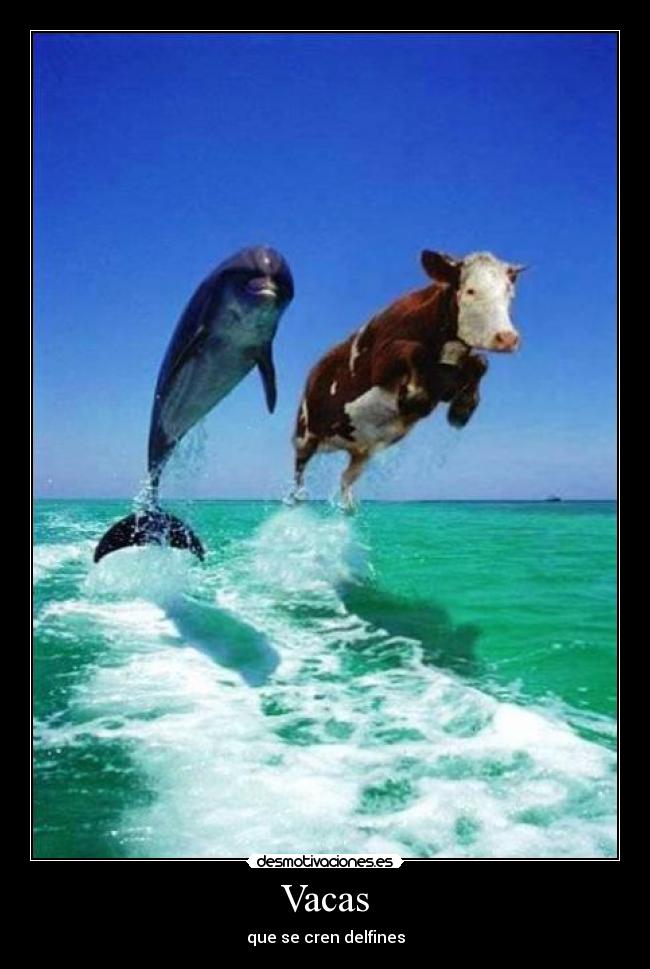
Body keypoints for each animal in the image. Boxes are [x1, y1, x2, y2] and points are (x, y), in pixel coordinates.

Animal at [290, 250, 524, 509]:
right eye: (471, 290)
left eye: (509, 292)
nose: (507, 338)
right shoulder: (379, 362)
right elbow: (414, 350)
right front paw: (415, 398)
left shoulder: (446, 383)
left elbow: (481, 362)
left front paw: (462, 409)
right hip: (305, 434)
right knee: (298, 471)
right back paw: (296, 499)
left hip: (361, 450)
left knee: (346, 478)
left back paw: (348, 507)